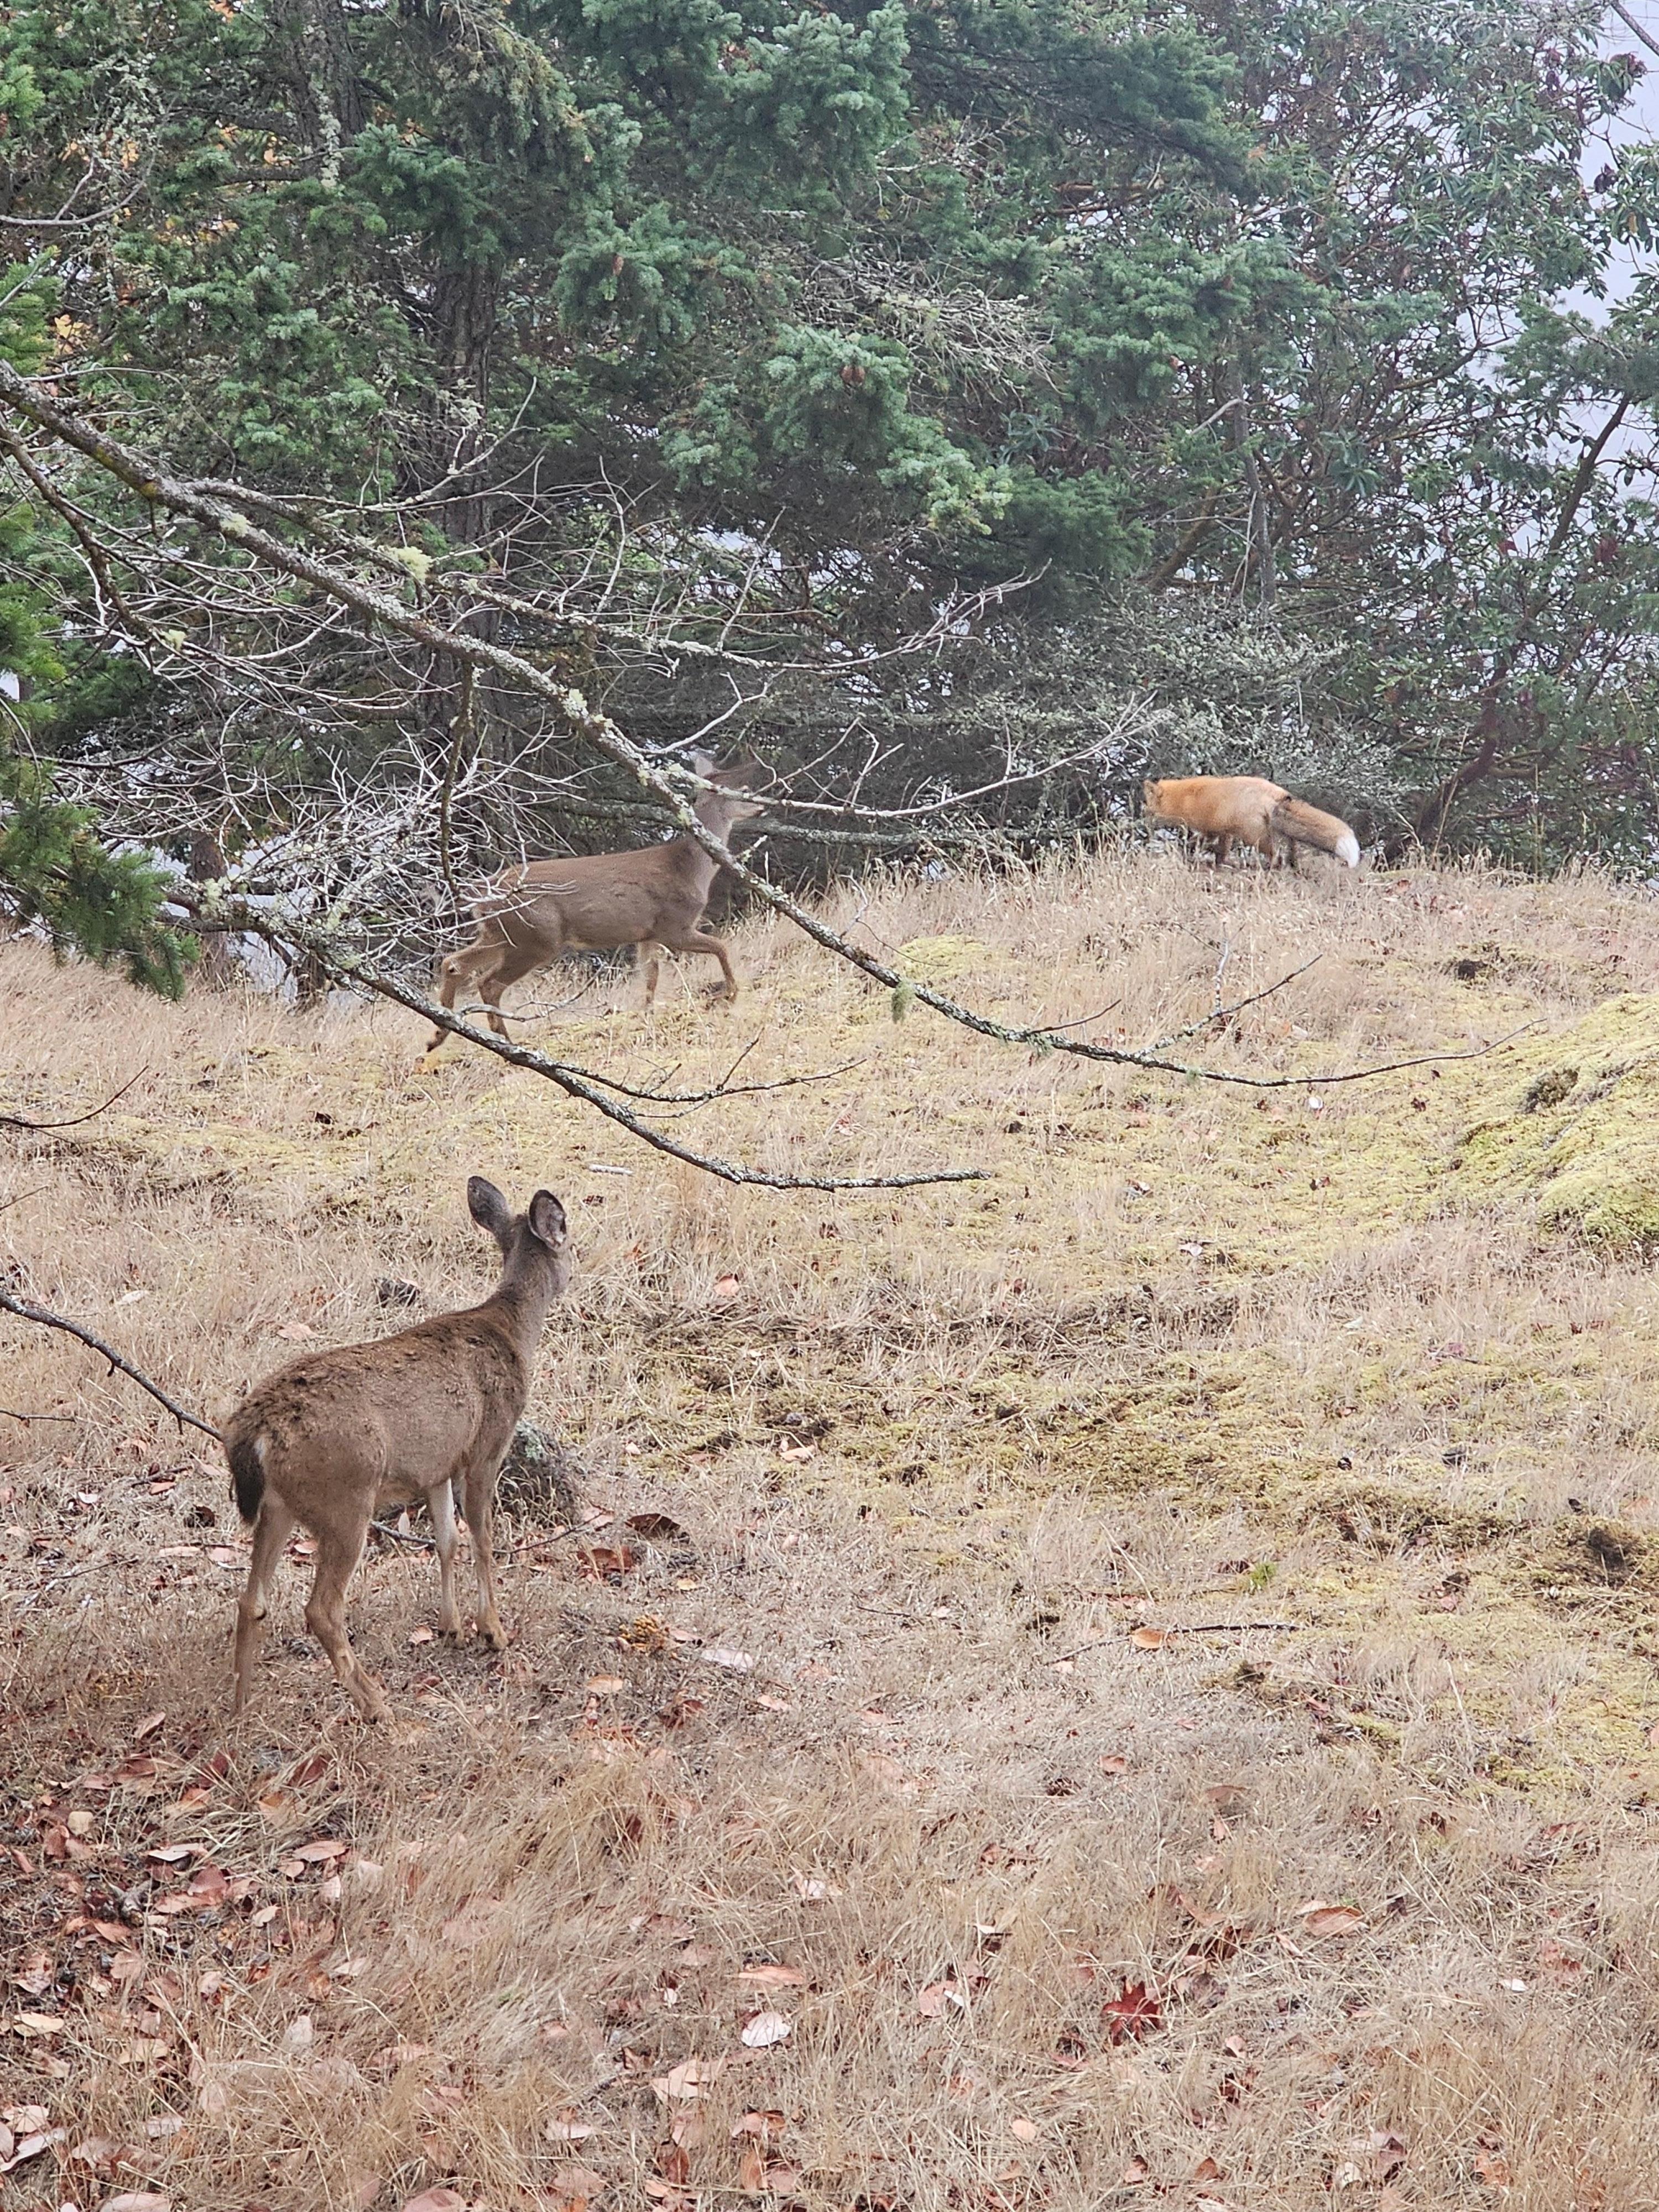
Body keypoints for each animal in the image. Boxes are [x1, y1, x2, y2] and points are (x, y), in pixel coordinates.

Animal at [224, 1177, 571, 1721]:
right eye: (569, 1237)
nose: (572, 1274)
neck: (510, 1331)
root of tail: (254, 1430)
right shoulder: (486, 1447)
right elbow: (482, 1542)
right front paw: (492, 1630)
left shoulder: (437, 1465)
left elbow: (447, 1540)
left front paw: (451, 1627)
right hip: (344, 1496)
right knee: (321, 1609)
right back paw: (375, 1704)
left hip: (280, 1505)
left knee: (251, 1599)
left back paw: (241, 1702)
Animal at [425, 753, 767, 1054]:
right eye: (744, 791)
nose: (763, 809)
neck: (691, 868)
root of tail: (482, 890)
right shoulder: (675, 925)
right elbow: (721, 947)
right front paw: (731, 994)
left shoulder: (648, 934)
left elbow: (650, 979)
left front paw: (646, 1019)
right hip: (537, 936)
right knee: (490, 983)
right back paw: (507, 1043)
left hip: (500, 932)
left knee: (454, 963)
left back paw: (438, 1036)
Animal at [1142, 775, 1360, 871]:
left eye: (1148, 810)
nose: (1144, 824)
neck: (1185, 799)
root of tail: (1278, 793)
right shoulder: (1225, 831)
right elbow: (1221, 851)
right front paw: (1220, 863)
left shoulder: (1208, 828)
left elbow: (1199, 844)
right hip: (1280, 832)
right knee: (1291, 848)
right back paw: (1293, 866)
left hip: (1254, 836)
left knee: (1276, 854)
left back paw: (1271, 868)